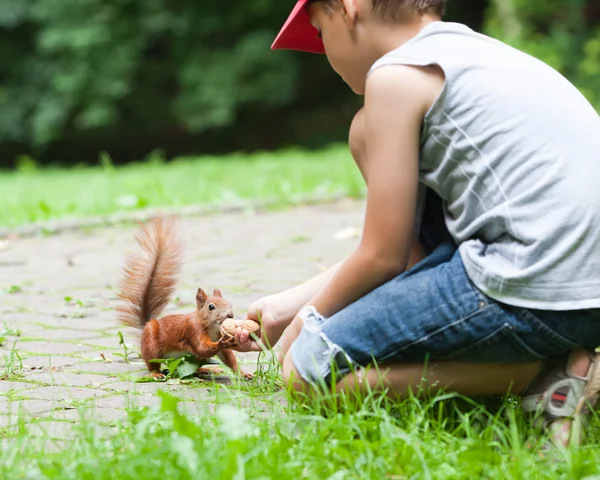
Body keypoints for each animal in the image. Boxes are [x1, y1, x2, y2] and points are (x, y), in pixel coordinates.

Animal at [115, 217, 251, 378]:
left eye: (229, 303)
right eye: (211, 307)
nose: (230, 315)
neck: (211, 327)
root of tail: (146, 325)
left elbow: (228, 357)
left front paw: (243, 373)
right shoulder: (193, 330)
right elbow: (202, 347)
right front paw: (221, 343)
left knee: (195, 366)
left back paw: (206, 369)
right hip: (151, 343)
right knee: (152, 363)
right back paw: (156, 374)